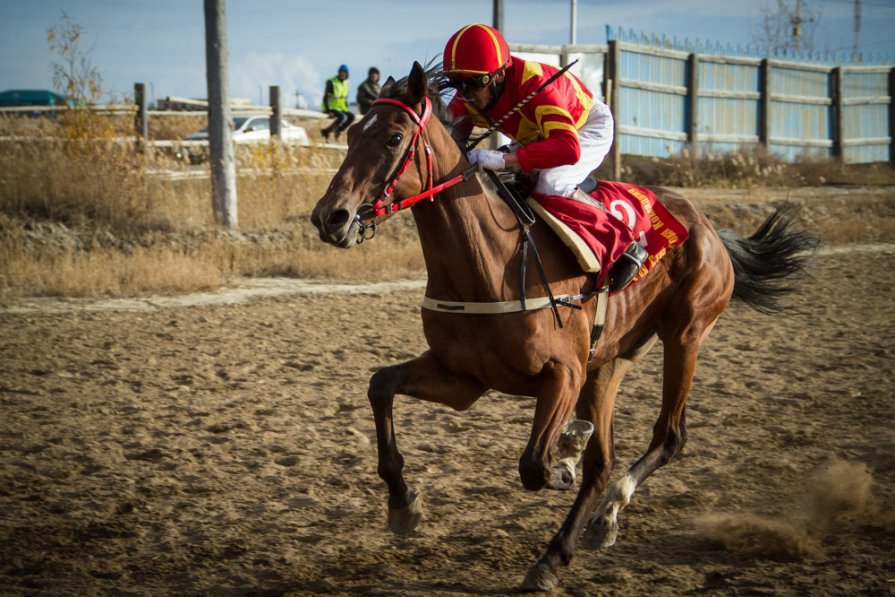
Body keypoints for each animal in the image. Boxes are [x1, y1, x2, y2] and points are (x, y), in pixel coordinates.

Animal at [310, 62, 820, 592]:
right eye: (351, 134)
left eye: (393, 138)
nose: (331, 216)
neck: (489, 264)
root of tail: (708, 226)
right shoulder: (463, 379)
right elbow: (380, 385)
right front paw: (402, 503)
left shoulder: (563, 374)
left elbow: (535, 464)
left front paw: (564, 458)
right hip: (611, 361)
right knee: (604, 460)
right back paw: (564, 542)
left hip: (685, 335)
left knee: (667, 437)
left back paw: (599, 514)